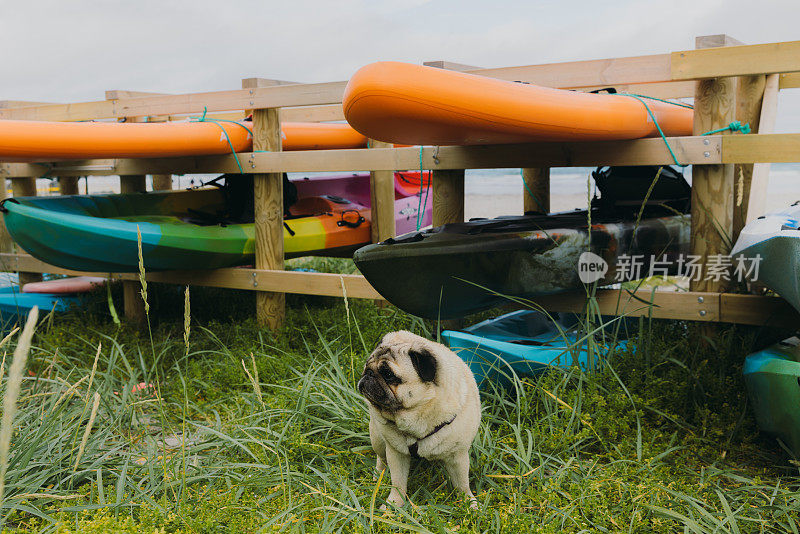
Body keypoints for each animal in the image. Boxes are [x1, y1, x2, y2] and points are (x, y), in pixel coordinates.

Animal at [358, 330, 482, 510]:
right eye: (367, 366)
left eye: (388, 375)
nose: (368, 374)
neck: (416, 416)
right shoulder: (396, 453)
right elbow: (398, 483)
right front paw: (394, 504)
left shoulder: (457, 456)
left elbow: (462, 484)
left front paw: (468, 504)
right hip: (377, 439)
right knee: (381, 459)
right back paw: (378, 476)